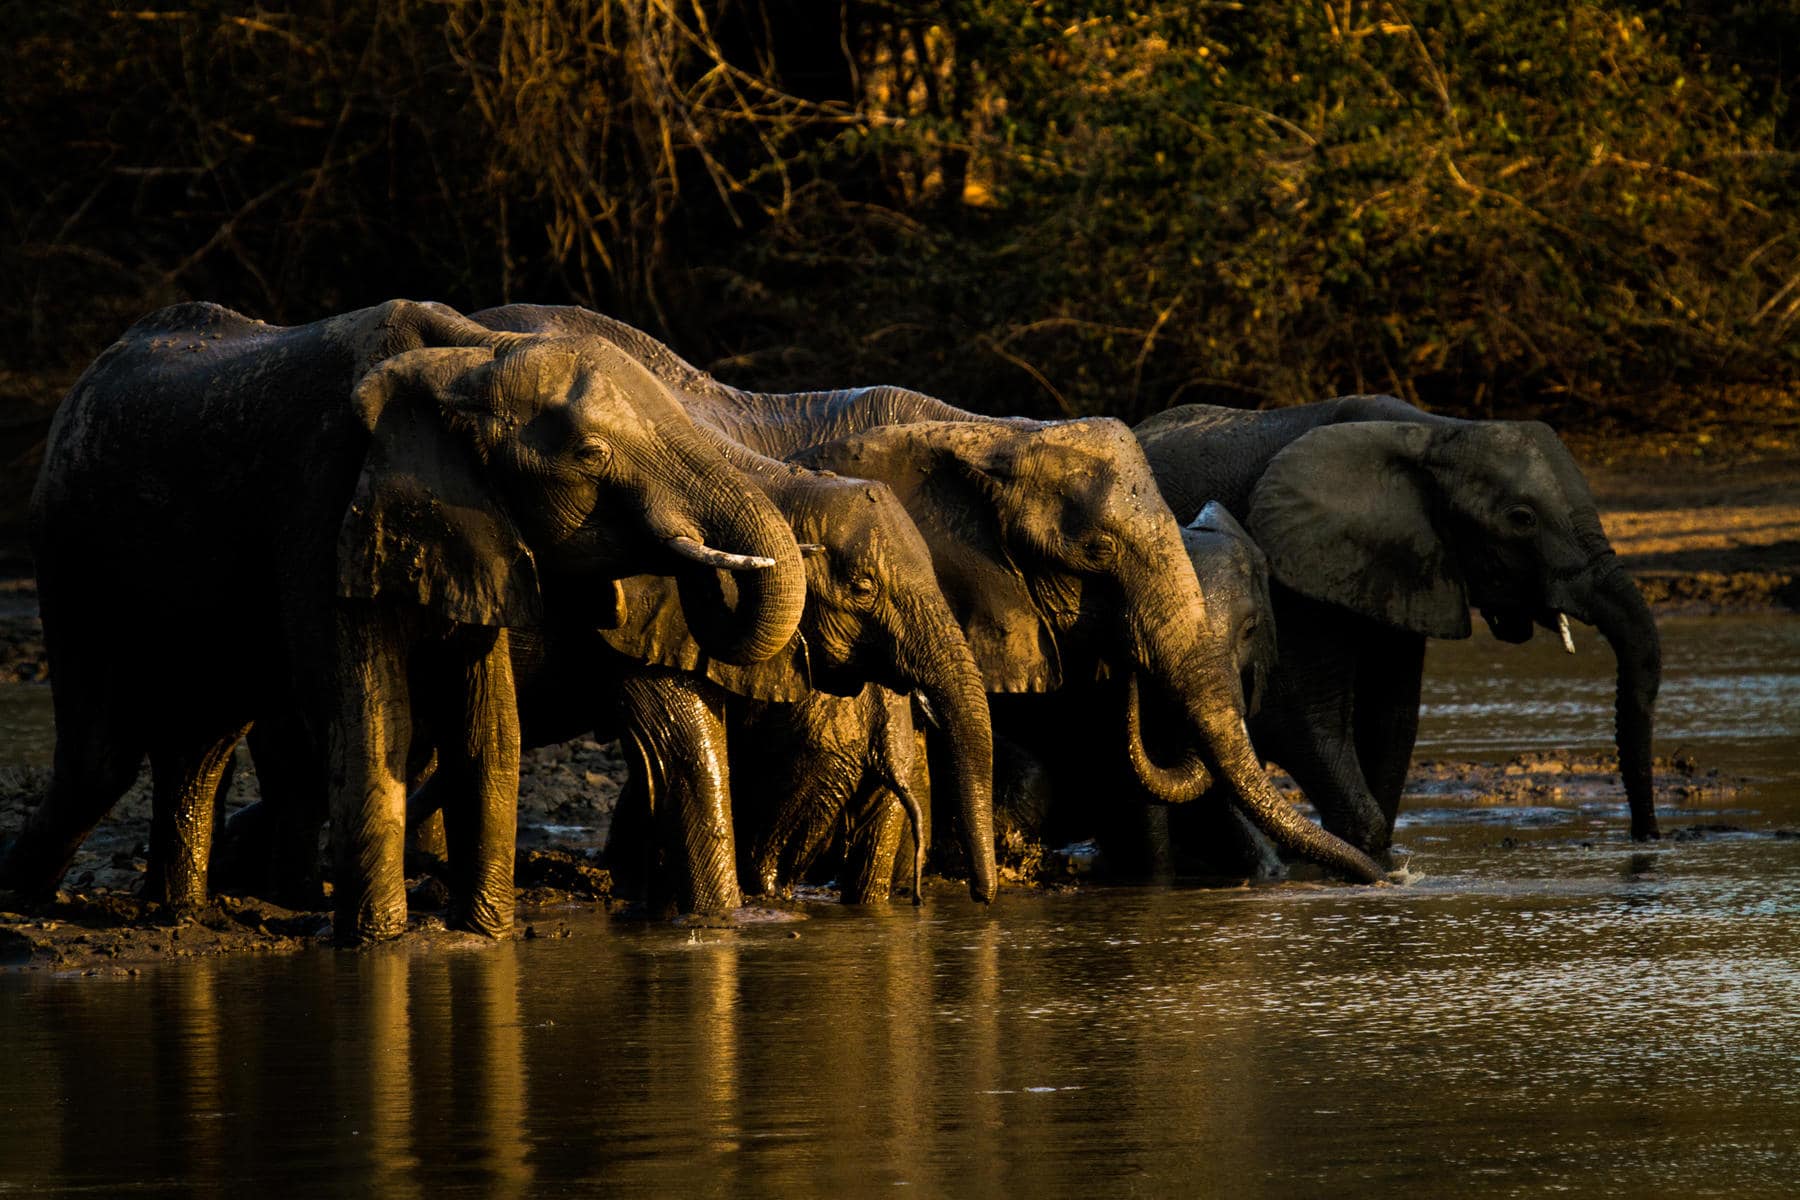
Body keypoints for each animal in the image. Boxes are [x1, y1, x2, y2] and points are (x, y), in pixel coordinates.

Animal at [0, 300, 807, 943]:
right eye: (590, 454)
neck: (468, 360)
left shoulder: (478, 526)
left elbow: (489, 726)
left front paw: (482, 937)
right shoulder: (323, 501)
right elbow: (368, 716)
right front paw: (381, 944)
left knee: (200, 741)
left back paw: (177, 915)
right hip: (65, 546)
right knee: (103, 755)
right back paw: (26, 903)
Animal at [1133, 393, 1660, 861]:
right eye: (1521, 519)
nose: (1645, 838)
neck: (1435, 433)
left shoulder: (1402, 559)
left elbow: (1393, 712)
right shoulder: (1292, 565)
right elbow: (1296, 713)